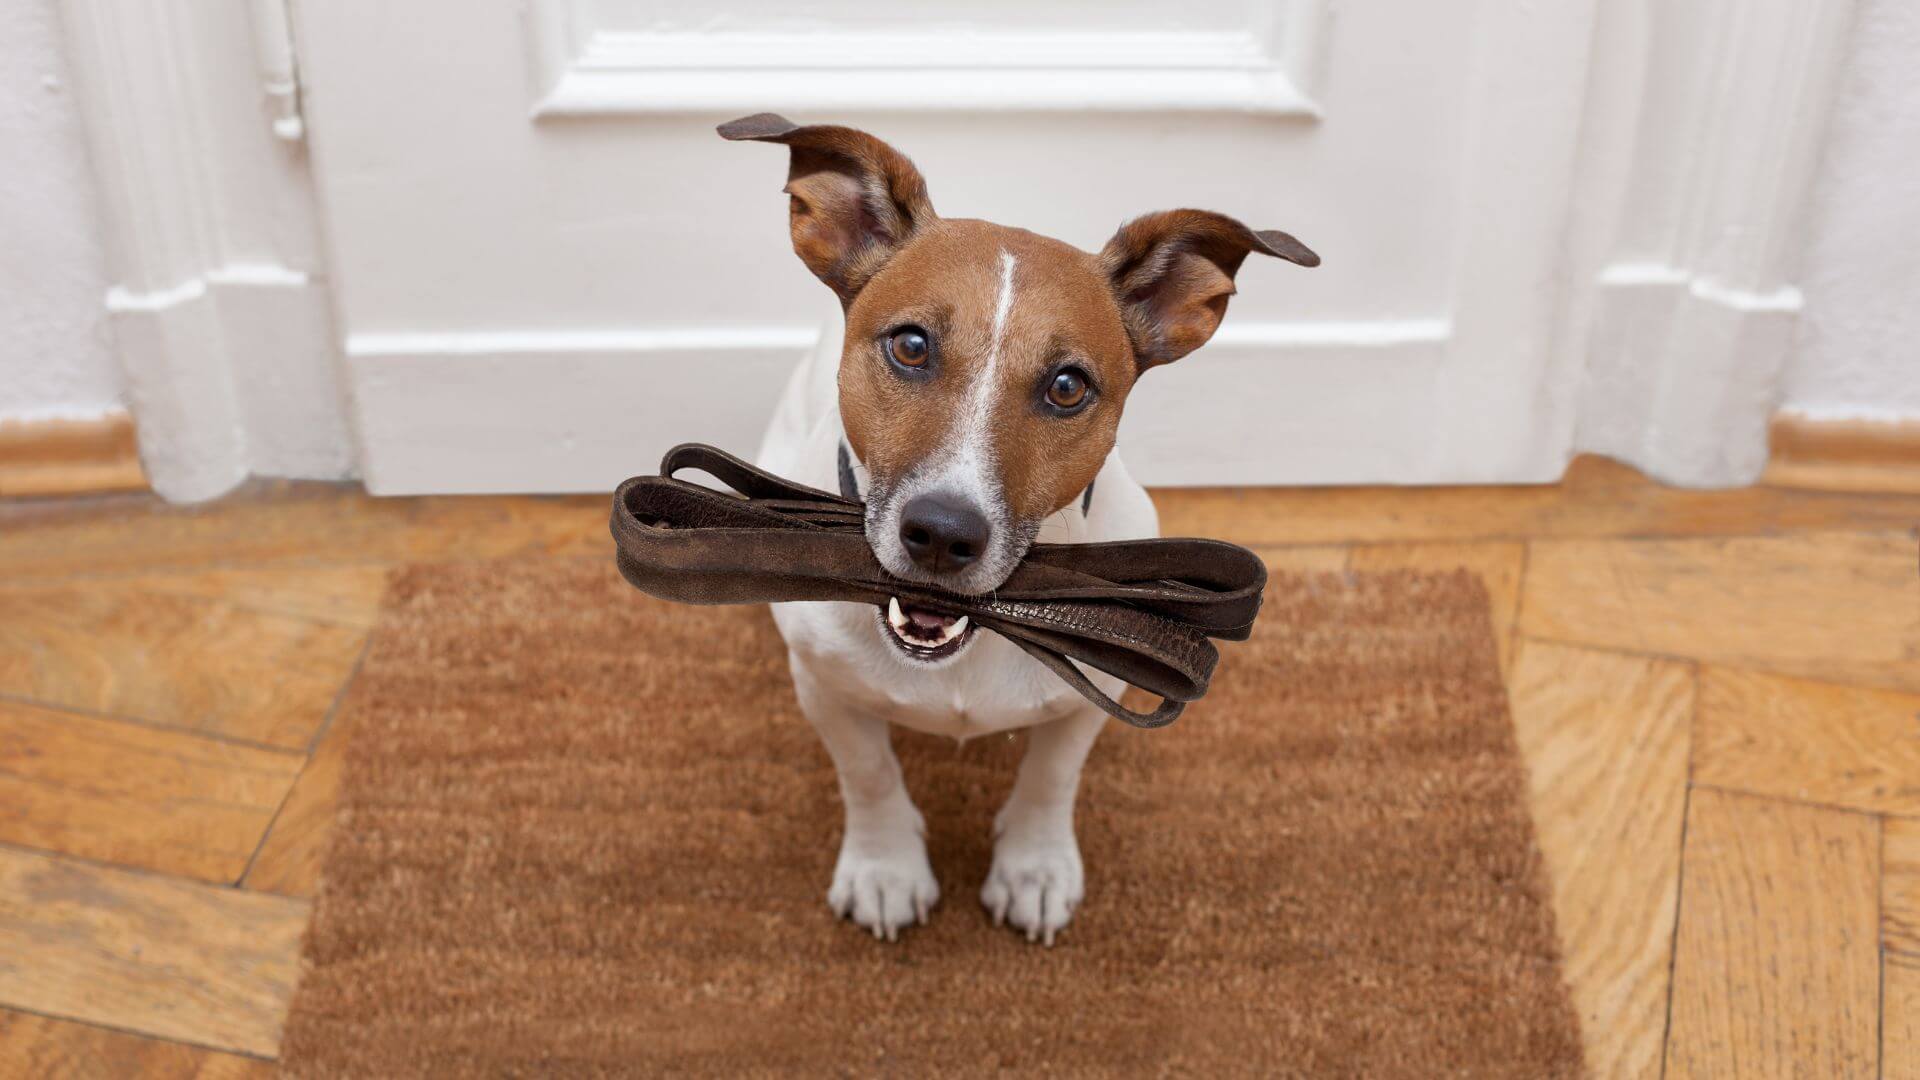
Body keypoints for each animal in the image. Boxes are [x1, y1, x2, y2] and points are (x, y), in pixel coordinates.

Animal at [725, 113, 1313, 937]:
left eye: (1068, 386)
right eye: (911, 345)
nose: (943, 533)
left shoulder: (1091, 694)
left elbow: (1051, 776)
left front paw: (1033, 866)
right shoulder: (825, 688)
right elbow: (868, 772)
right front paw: (885, 866)